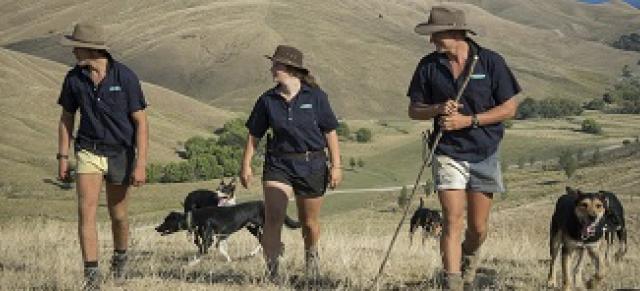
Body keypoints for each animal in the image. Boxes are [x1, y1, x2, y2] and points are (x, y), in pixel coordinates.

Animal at [158, 201, 302, 262]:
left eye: (166, 220)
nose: (156, 228)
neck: (197, 217)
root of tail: (265, 203)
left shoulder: (209, 238)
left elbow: (202, 251)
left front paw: (191, 263)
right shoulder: (220, 236)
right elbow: (220, 249)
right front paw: (228, 260)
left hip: (261, 227)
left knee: (274, 242)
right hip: (253, 228)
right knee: (270, 242)